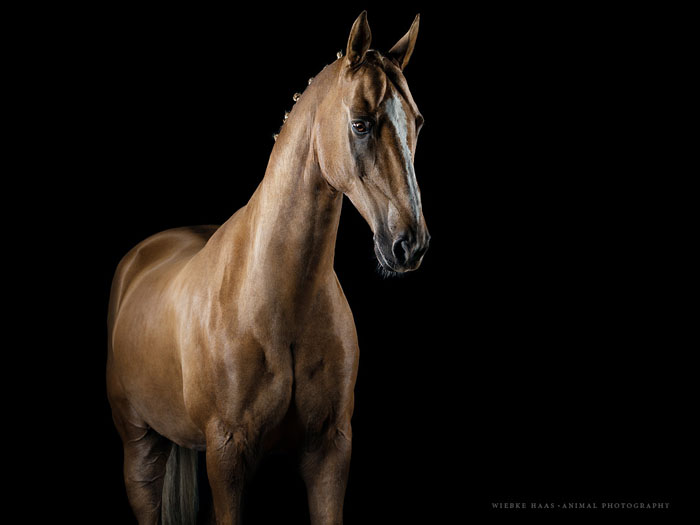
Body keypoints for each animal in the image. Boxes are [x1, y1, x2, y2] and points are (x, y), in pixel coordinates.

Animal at [106, 12, 430, 524]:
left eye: (417, 122)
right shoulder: (227, 454)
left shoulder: (330, 450)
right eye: (360, 124)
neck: (274, 299)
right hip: (140, 448)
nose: (409, 244)